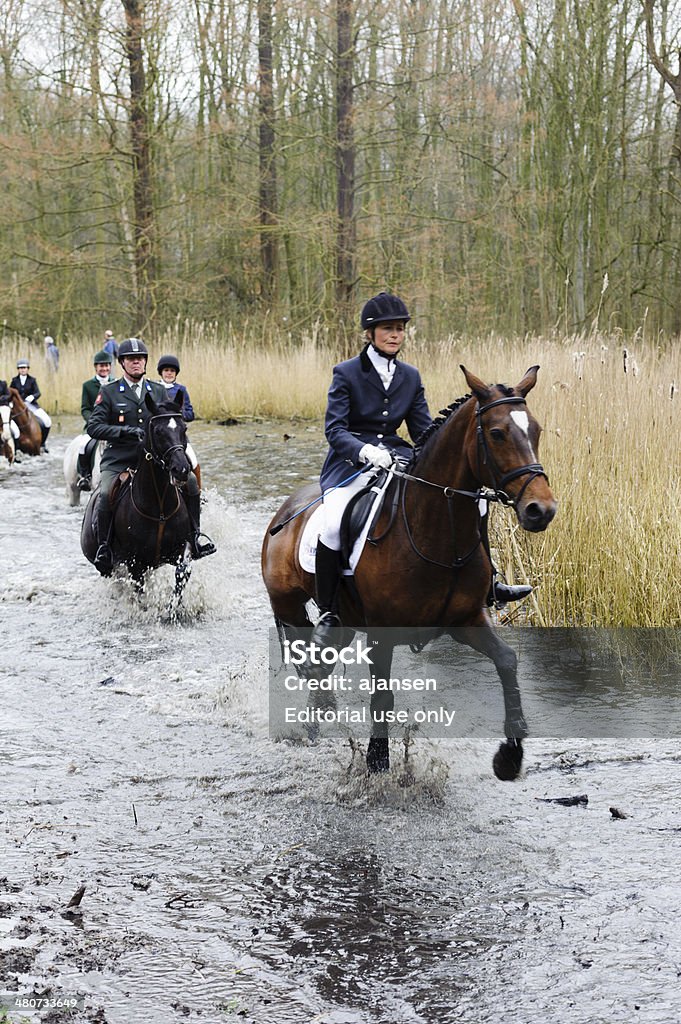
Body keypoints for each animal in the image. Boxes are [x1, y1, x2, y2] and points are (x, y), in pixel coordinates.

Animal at [261, 364, 557, 778]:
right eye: (497, 433)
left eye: (536, 430)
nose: (541, 510)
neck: (432, 531)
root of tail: (286, 510)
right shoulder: (381, 635)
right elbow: (382, 697)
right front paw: (377, 761)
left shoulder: (466, 620)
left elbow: (507, 661)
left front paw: (509, 756)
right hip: (290, 607)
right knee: (310, 661)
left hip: (345, 620)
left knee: (322, 662)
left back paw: (319, 715)